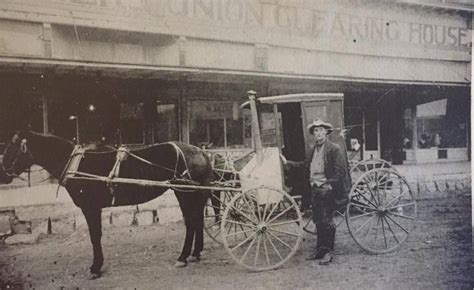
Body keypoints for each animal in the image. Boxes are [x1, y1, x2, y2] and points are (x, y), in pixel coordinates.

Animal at [0, 131, 213, 278]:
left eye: (12, 147)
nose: (3, 174)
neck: (75, 165)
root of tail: (200, 151)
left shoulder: (90, 207)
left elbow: (95, 236)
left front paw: (95, 268)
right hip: (193, 193)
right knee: (197, 220)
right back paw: (195, 253)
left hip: (184, 192)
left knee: (191, 222)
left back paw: (183, 257)